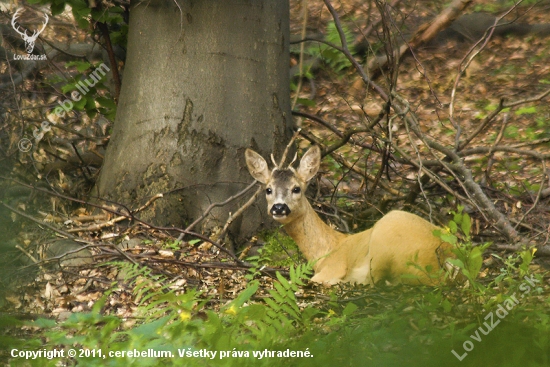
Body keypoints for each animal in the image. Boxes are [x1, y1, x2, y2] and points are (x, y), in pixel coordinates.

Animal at [248, 145, 454, 286]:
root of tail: (445, 262)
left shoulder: (331, 269)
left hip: (384, 243)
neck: (328, 250)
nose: (279, 207)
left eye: (296, 188)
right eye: (268, 189)